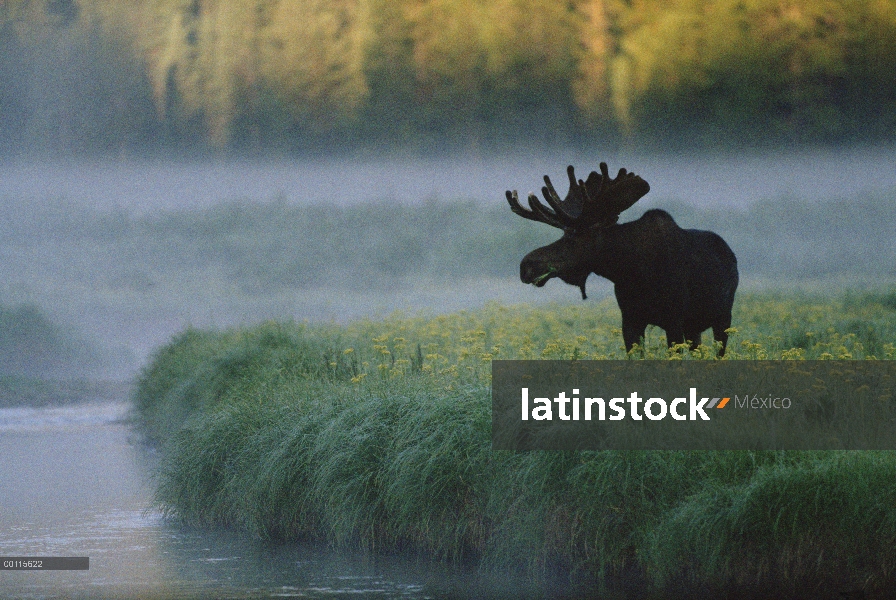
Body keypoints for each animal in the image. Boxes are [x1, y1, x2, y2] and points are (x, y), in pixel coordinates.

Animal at [508, 162, 740, 354]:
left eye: (573, 237)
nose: (526, 265)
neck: (629, 271)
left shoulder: (674, 318)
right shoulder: (630, 319)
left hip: (722, 318)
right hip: (694, 326)